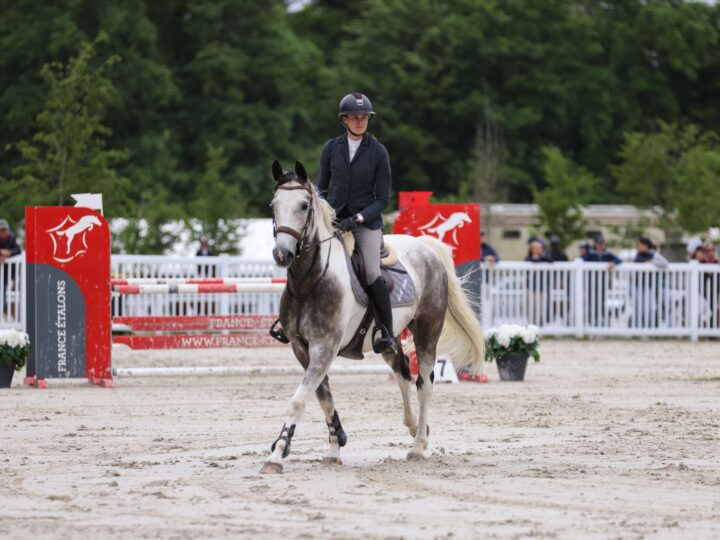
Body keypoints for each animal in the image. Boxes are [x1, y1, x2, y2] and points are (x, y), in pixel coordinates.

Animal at [260, 160, 484, 474]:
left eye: (304, 205)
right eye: (273, 205)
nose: (283, 254)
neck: (310, 281)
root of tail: (426, 248)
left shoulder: (324, 348)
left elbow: (298, 401)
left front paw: (277, 454)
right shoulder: (302, 348)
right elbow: (323, 398)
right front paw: (335, 446)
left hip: (427, 330)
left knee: (424, 383)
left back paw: (417, 446)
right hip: (389, 339)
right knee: (402, 372)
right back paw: (416, 429)